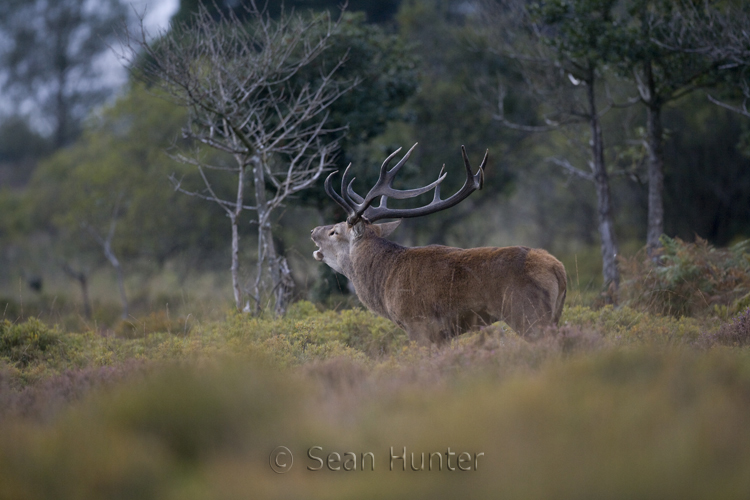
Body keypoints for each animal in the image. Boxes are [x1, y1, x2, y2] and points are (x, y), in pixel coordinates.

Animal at [311, 143, 566, 345]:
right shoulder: (442, 335)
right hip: (553, 315)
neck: (384, 281)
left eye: (334, 231)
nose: (313, 231)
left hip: (528, 315)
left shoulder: (419, 326)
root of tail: (558, 269)